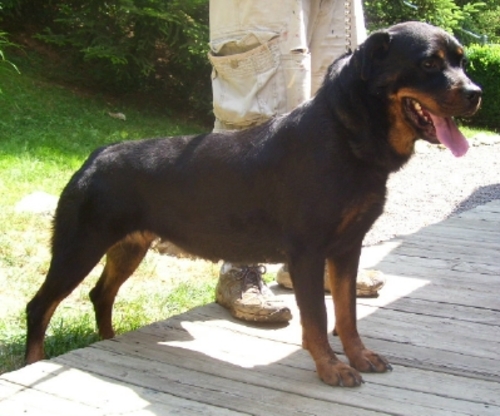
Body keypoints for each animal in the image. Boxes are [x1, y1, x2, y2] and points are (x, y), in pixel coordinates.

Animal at [25, 22, 481, 387]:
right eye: (429, 64)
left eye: (461, 61)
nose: (476, 94)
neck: (344, 136)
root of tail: (95, 156)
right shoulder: (308, 252)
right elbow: (317, 317)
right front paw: (330, 368)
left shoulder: (347, 248)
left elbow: (347, 312)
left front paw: (358, 356)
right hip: (79, 245)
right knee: (40, 305)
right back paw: (33, 363)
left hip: (128, 246)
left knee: (101, 294)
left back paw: (109, 339)